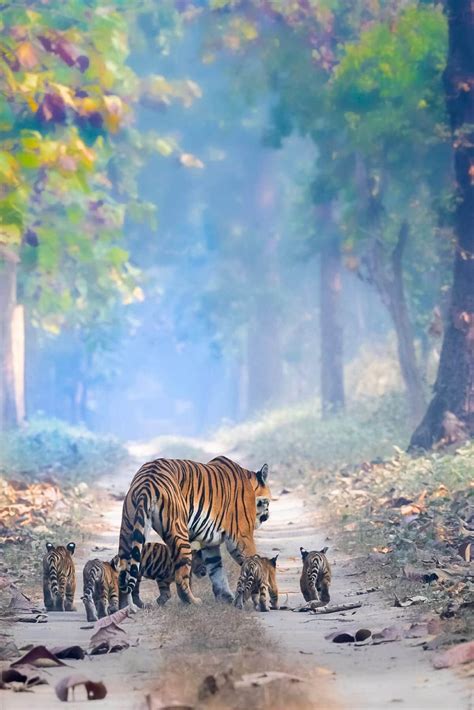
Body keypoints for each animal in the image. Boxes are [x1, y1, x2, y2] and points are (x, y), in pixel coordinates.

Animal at [117, 458, 272, 608]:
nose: (267, 516)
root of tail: (147, 480)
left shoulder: (209, 542)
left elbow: (216, 570)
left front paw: (225, 597)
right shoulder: (242, 536)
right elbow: (253, 564)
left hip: (128, 529)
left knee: (122, 571)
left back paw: (125, 607)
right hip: (179, 533)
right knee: (181, 575)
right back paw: (192, 601)